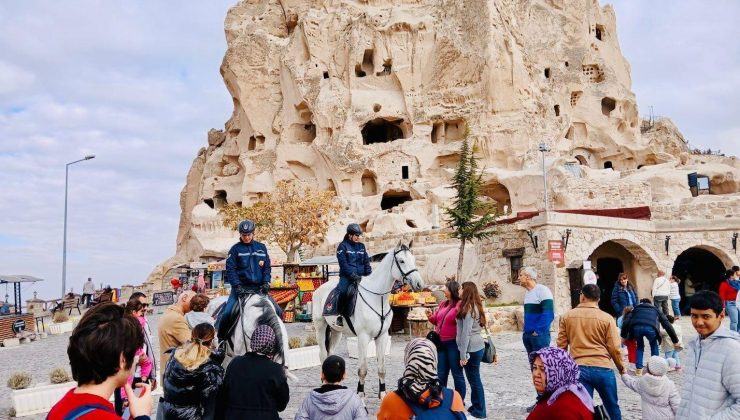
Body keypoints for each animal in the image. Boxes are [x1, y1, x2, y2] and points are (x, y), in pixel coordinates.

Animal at [310, 241, 422, 398]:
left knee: (330, 354)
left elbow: (382, 368)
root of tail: (320, 289)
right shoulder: (363, 337)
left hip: (336, 331)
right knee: (322, 354)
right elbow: (362, 369)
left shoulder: (382, 336)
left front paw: (382, 394)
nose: (419, 284)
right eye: (401, 261)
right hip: (320, 328)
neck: (378, 298)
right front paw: (360, 394)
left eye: (414, 259)